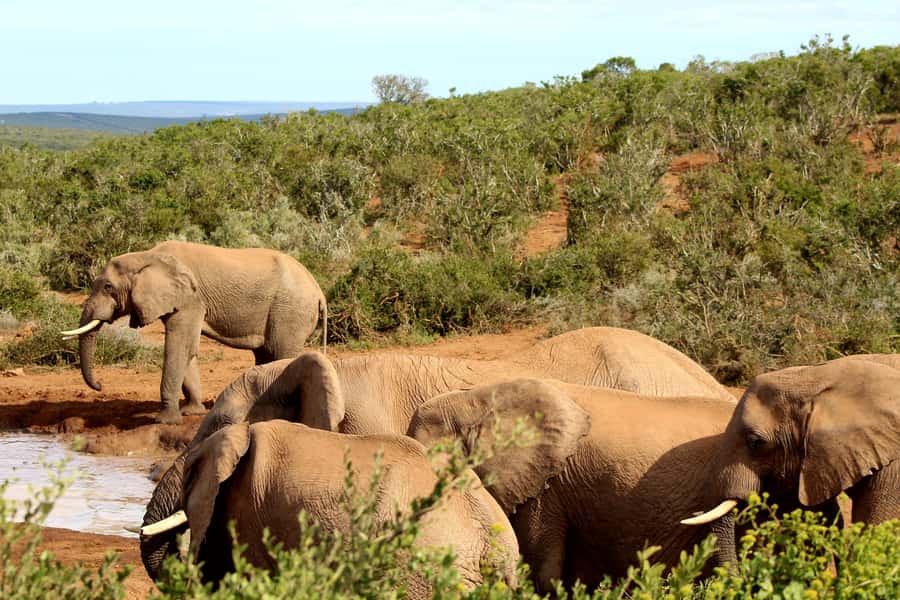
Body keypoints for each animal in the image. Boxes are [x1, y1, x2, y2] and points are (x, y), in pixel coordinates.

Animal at [60, 240, 327, 424]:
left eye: (108, 287)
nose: (100, 386)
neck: (147, 256)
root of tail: (318, 290)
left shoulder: (191, 299)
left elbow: (177, 346)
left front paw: (164, 421)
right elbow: (187, 349)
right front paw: (192, 412)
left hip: (290, 311)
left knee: (282, 352)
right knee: (265, 355)